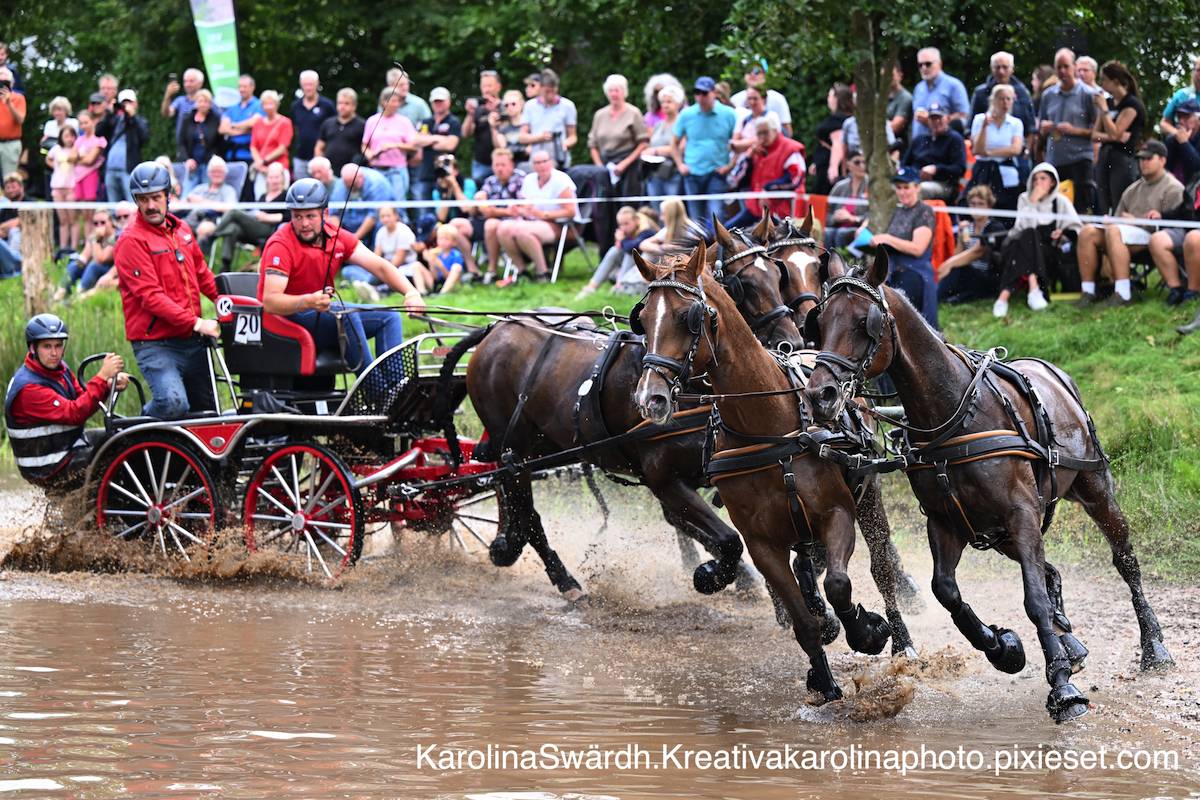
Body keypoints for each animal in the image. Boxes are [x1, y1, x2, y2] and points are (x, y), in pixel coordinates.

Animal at [436, 219, 805, 602]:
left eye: (776, 275)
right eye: (743, 283)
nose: (791, 342)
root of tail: (494, 329)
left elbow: (705, 528)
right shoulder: (663, 478)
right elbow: (728, 539)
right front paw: (713, 574)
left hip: (543, 445)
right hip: (516, 451)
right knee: (527, 510)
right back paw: (562, 578)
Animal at [631, 242, 895, 702]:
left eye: (687, 317)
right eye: (643, 319)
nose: (651, 398)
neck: (767, 425)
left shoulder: (837, 515)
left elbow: (839, 584)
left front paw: (867, 631)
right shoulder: (762, 543)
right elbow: (803, 622)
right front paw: (825, 683)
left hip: (868, 499)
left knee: (881, 570)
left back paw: (902, 639)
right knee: (806, 571)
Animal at [803, 251, 1173, 723]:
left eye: (863, 322)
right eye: (819, 321)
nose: (821, 395)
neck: (955, 414)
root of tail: (1051, 370)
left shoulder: (1021, 513)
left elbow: (1033, 599)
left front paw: (1062, 688)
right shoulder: (946, 522)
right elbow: (946, 591)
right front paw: (1004, 647)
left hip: (1091, 489)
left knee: (1124, 560)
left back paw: (1153, 645)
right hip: (999, 533)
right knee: (1049, 570)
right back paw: (1068, 641)